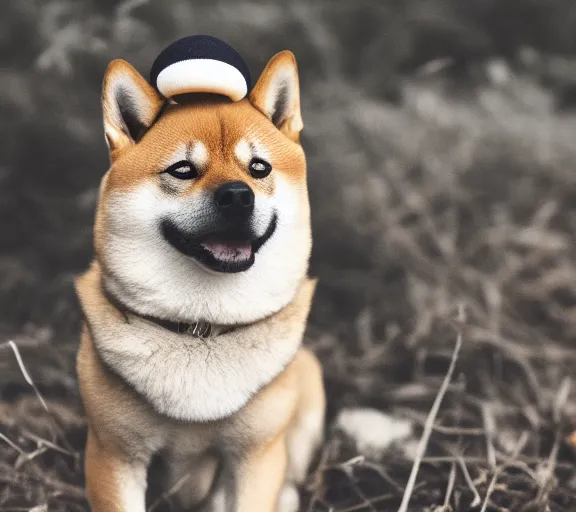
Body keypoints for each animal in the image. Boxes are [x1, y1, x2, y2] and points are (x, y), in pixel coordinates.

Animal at [73, 37, 324, 512]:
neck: (201, 326)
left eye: (259, 168)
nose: (238, 196)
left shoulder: (255, 458)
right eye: (183, 170)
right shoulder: (114, 456)